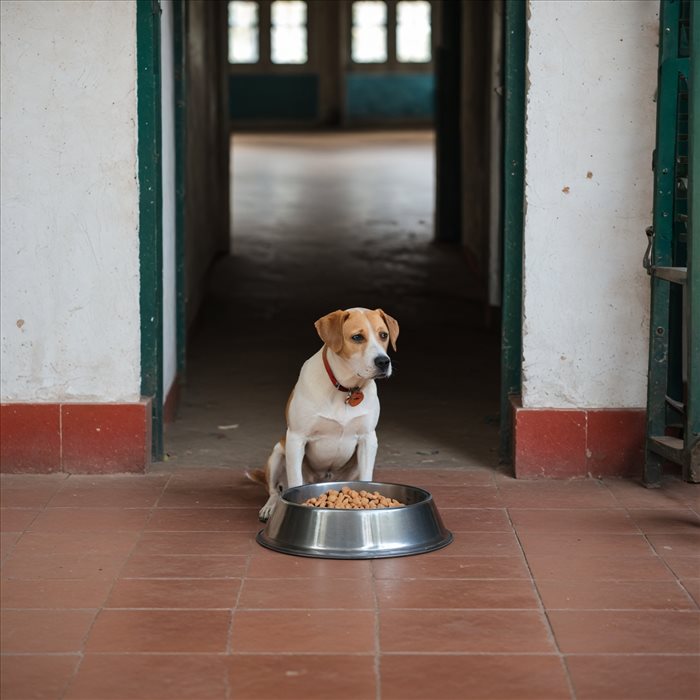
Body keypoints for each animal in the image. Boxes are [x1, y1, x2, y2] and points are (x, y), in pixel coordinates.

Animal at [250, 306, 400, 520]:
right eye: (357, 337)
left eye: (383, 335)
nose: (383, 361)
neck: (345, 389)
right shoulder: (296, 438)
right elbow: (294, 482)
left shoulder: (368, 439)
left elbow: (366, 479)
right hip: (278, 453)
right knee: (274, 491)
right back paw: (270, 507)